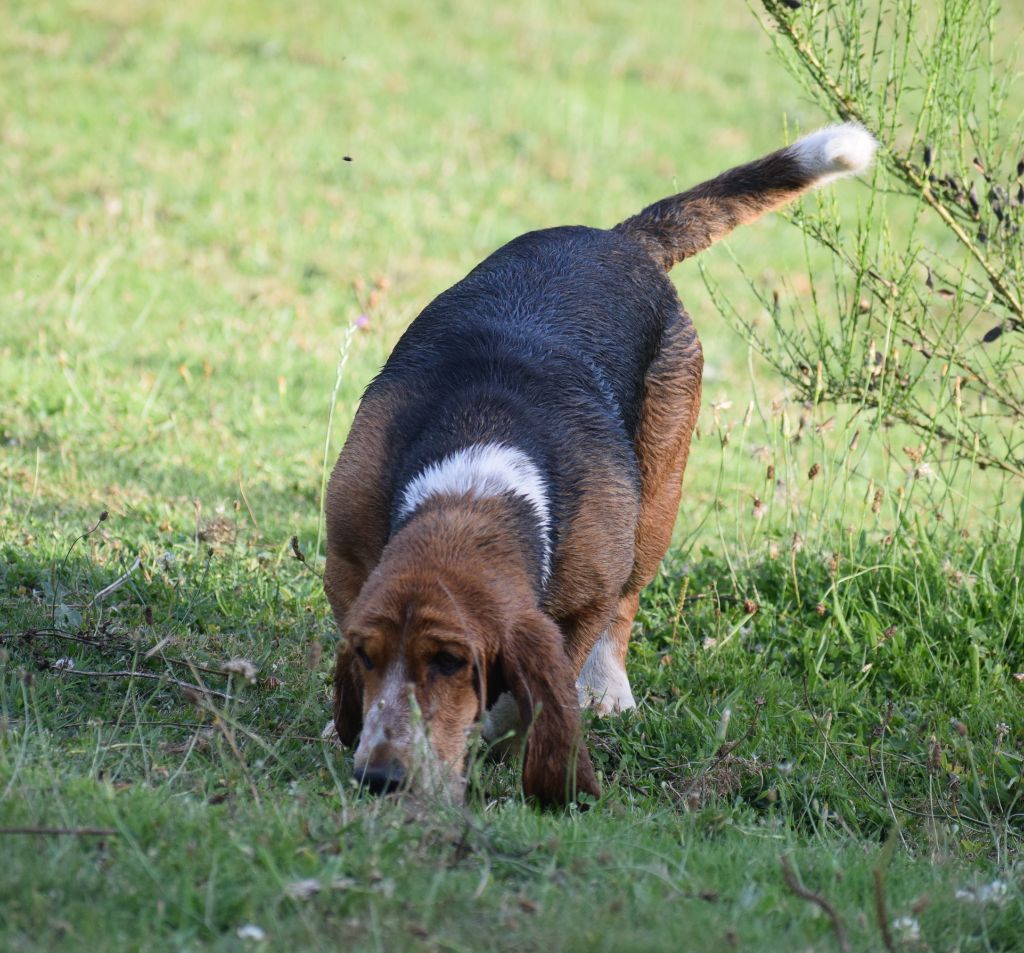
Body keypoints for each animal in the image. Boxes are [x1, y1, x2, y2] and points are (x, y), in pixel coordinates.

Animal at [323, 119, 876, 806]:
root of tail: (619, 241)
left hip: (654, 508)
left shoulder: (581, 600)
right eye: (369, 657)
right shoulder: (348, 560)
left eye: (451, 663)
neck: (477, 472)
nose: (379, 777)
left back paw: (607, 690)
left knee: (628, 602)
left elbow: (536, 688)